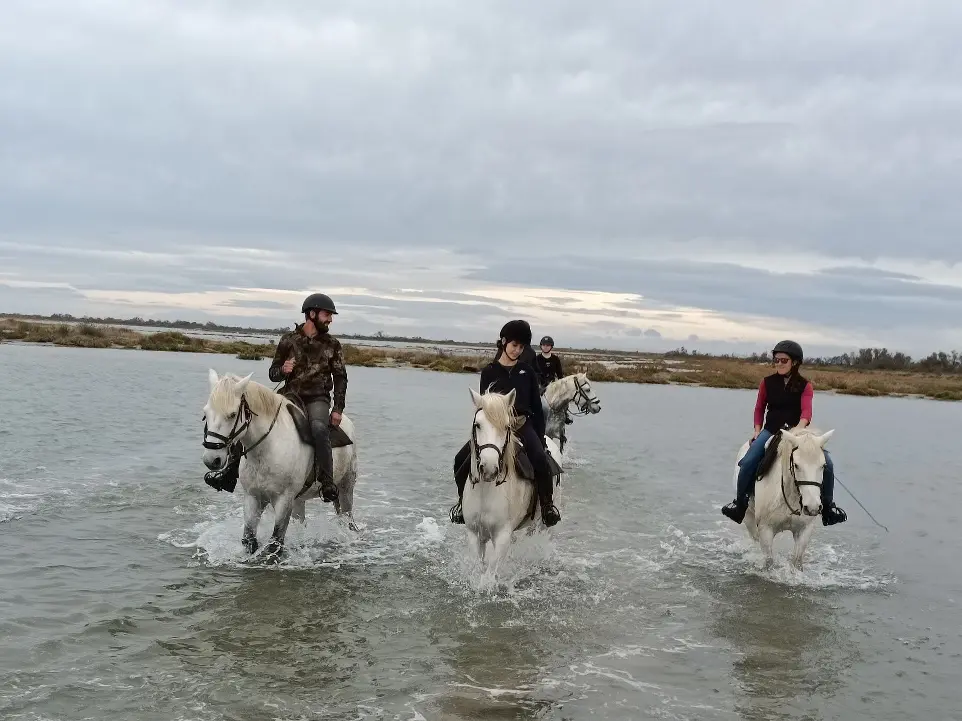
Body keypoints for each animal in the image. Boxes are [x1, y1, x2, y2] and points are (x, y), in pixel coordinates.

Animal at [201, 372, 358, 556]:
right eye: (206, 412)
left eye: (232, 414)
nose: (211, 459)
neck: (267, 448)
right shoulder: (253, 497)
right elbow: (249, 540)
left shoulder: (284, 500)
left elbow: (275, 544)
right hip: (299, 500)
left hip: (345, 489)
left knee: (348, 521)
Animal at [460, 388, 564, 568]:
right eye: (477, 425)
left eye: (506, 426)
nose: (489, 468)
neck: (486, 491)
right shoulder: (474, 534)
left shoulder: (502, 537)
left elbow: (490, 573)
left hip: (543, 522)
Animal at [736, 424, 832, 572]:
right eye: (796, 465)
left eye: (823, 466)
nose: (812, 507)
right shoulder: (765, 529)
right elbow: (769, 562)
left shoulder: (805, 530)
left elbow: (796, 561)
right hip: (748, 517)